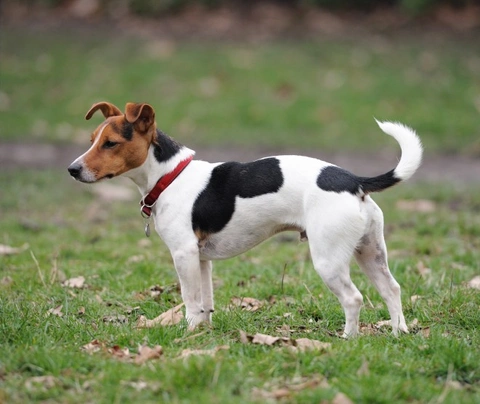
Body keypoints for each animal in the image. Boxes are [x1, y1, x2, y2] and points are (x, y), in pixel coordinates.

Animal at [69, 102, 422, 338]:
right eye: (92, 139)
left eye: (111, 143)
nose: (72, 169)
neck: (170, 176)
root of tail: (354, 180)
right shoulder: (201, 259)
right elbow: (206, 301)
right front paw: (204, 333)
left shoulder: (183, 254)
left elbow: (190, 300)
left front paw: (189, 334)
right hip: (370, 253)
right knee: (392, 289)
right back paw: (399, 333)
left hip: (329, 260)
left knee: (353, 298)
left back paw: (348, 339)